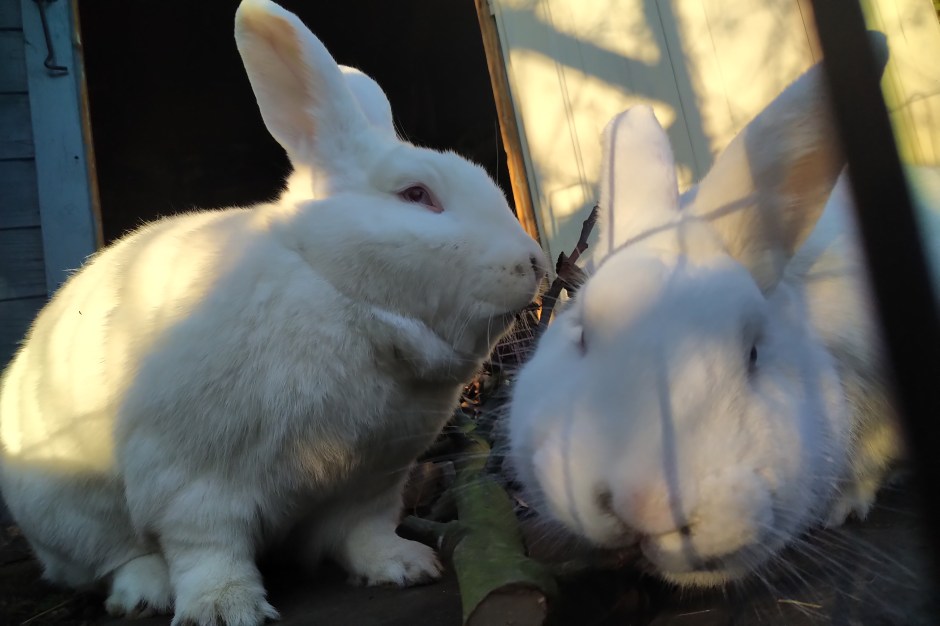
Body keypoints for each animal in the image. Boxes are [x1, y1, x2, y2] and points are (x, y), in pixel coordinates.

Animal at [0, 0, 547, 623]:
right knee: (113, 558)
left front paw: (404, 566)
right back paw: (145, 592)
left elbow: (365, 532)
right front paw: (223, 608)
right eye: (416, 195)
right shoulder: (191, 481)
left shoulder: (373, 481)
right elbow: (208, 548)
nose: (533, 261)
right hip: (72, 513)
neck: (345, 299)